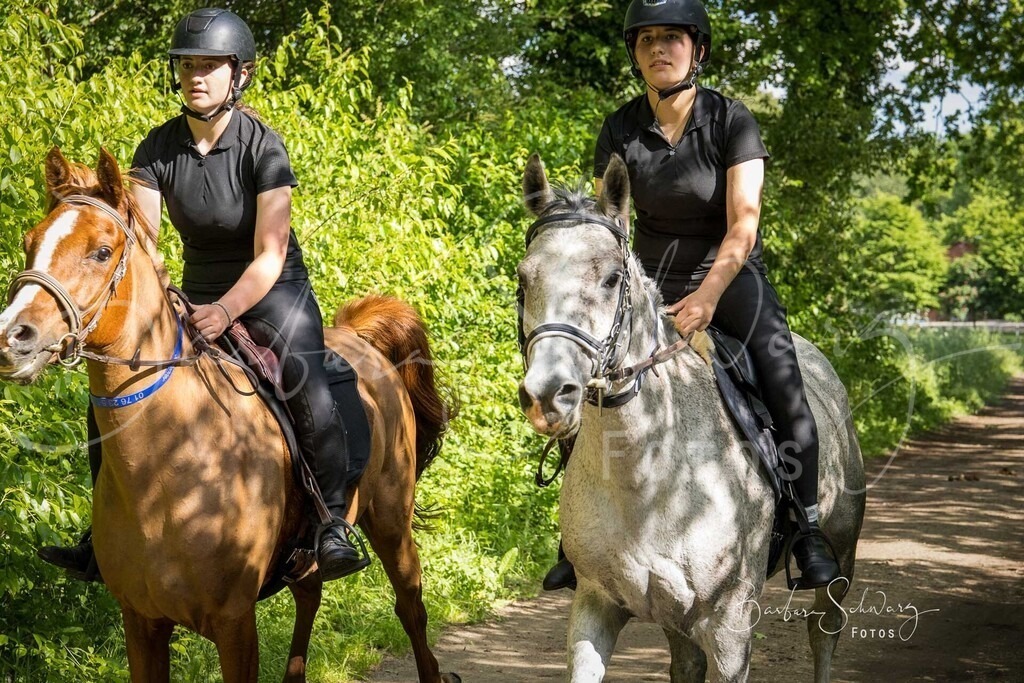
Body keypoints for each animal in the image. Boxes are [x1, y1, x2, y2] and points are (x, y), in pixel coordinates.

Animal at [0, 147, 461, 683]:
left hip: (391, 519)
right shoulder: (141, 623)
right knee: (310, 594)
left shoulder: (234, 624)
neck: (170, 463)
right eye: (30, 242)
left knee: (410, 607)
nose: (14, 337)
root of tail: (360, 338)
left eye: (101, 251)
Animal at [516, 154, 866, 682]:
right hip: (677, 621)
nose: (548, 394)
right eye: (523, 278)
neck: (647, 475)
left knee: (824, 634)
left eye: (611, 279)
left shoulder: (730, 629)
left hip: (839, 563)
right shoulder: (595, 605)